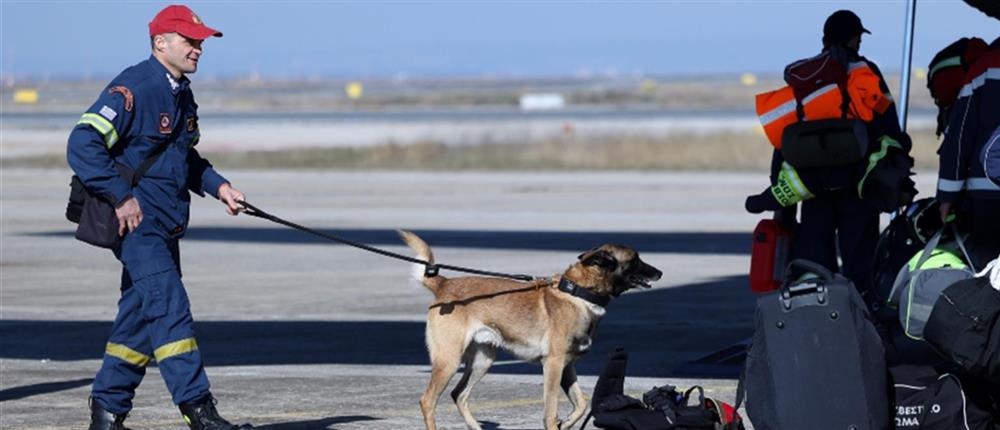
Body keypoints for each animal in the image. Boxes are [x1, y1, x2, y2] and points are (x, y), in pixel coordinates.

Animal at [398, 232, 664, 430]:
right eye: (635, 260)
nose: (659, 272)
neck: (579, 293)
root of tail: (444, 284)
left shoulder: (567, 367)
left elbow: (581, 404)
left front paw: (566, 423)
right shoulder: (553, 366)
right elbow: (550, 411)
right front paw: (557, 423)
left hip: (483, 360)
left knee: (459, 394)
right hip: (449, 360)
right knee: (428, 401)